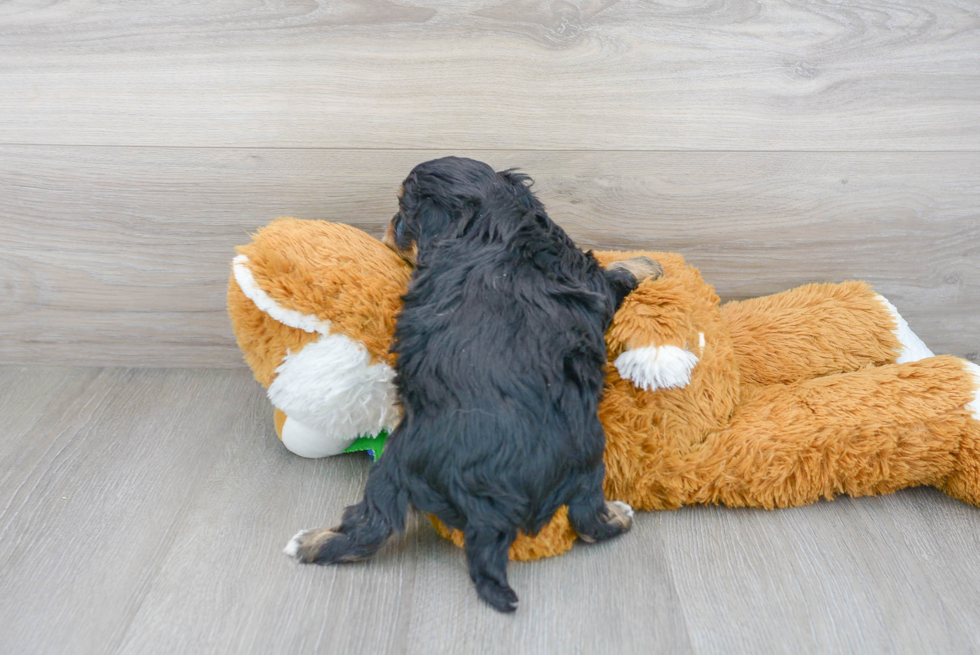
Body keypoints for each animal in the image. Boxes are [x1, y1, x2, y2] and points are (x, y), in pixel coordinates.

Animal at [288, 156, 664, 612]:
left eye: (402, 213)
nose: (389, 225)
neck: (491, 223)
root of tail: (486, 498)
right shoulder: (591, 280)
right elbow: (618, 271)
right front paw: (649, 263)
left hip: (394, 467)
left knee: (372, 524)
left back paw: (309, 543)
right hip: (586, 454)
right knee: (587, 519)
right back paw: (619, 517)